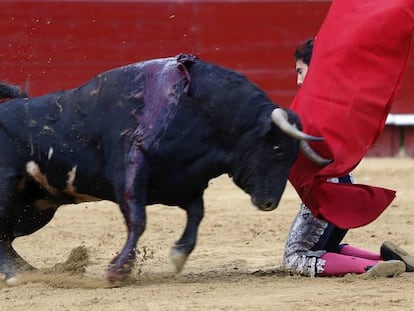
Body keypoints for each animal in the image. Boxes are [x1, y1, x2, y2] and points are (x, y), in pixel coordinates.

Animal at [0, 54, 324, 286]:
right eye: (278, 149)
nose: (270, 202)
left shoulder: (183, 182)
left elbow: (196, 214)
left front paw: (178, 255)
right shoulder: (132, 168)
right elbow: (138, 220)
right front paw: (118, 271)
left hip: (35, 209)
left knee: (8, 235)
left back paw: (27, 270)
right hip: (8, 190)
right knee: (3, 233)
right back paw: (16, 274)